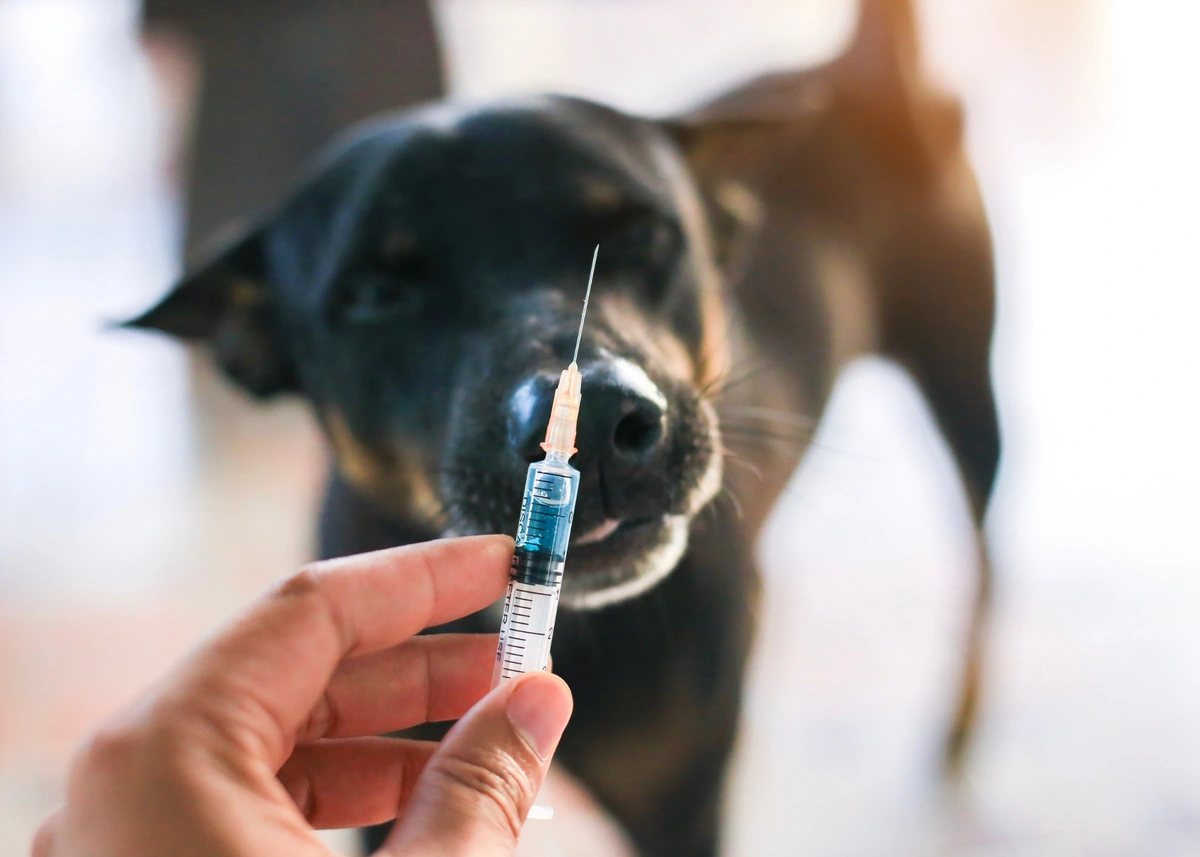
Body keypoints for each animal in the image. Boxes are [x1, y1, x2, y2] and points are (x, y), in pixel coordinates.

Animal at [126, 3, 998, 849]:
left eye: (642, 231)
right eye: (375, 294)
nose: (604, 416)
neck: (572, 633)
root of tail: (862, 64)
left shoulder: (685, 804)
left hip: (969, 393)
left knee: (987, 562)